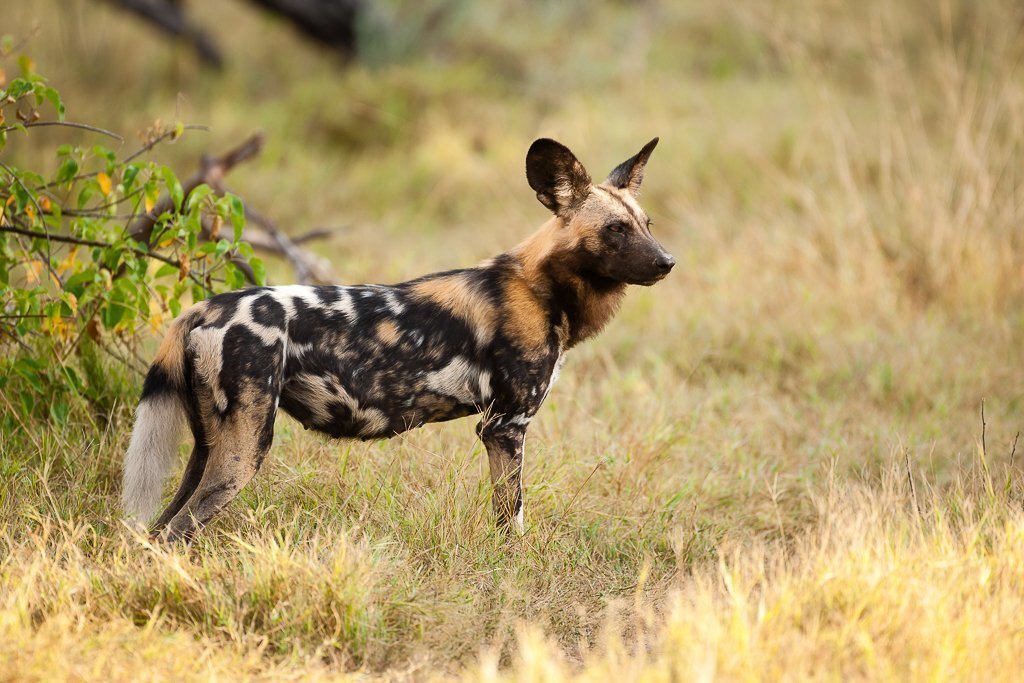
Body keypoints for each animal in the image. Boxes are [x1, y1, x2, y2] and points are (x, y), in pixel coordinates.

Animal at [121, 136, 671, 540]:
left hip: (206, 450)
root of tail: (204, 306)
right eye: (616, 230)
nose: (668, 261)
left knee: (155, 532)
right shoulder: (505, 428)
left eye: (646, 223)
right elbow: (511, 520)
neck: (544, 288)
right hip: (243, 451)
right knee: (173, 534)